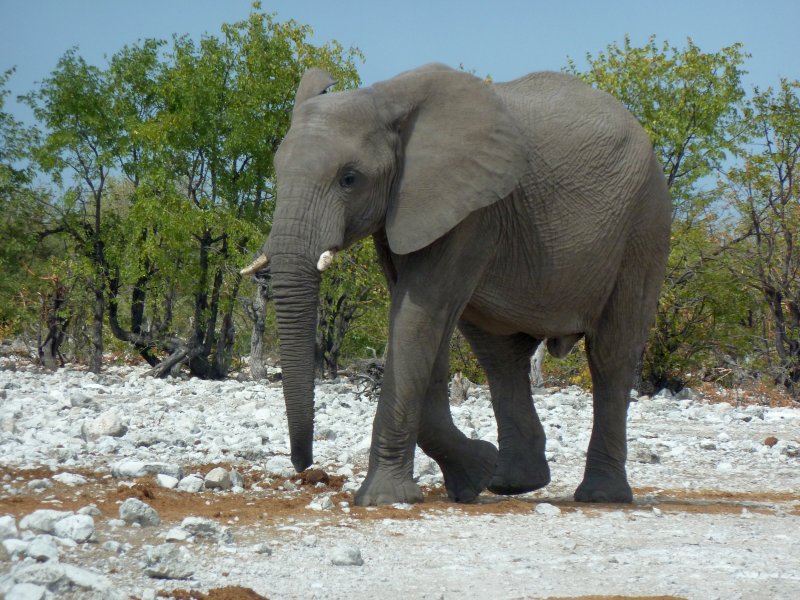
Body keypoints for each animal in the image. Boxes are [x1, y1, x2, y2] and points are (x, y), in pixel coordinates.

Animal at [242, 63, 668, 506]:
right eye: (277, 173)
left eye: (349, 179)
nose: (306, 467)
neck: (385, 99)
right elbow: (423, 323)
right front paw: (474, 473)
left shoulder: (471, 212)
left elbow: (418, 316)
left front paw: (383, 498)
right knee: (500, 356)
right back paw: (513, 483)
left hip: (644, 224)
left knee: (611, 355)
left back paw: (601, 495)